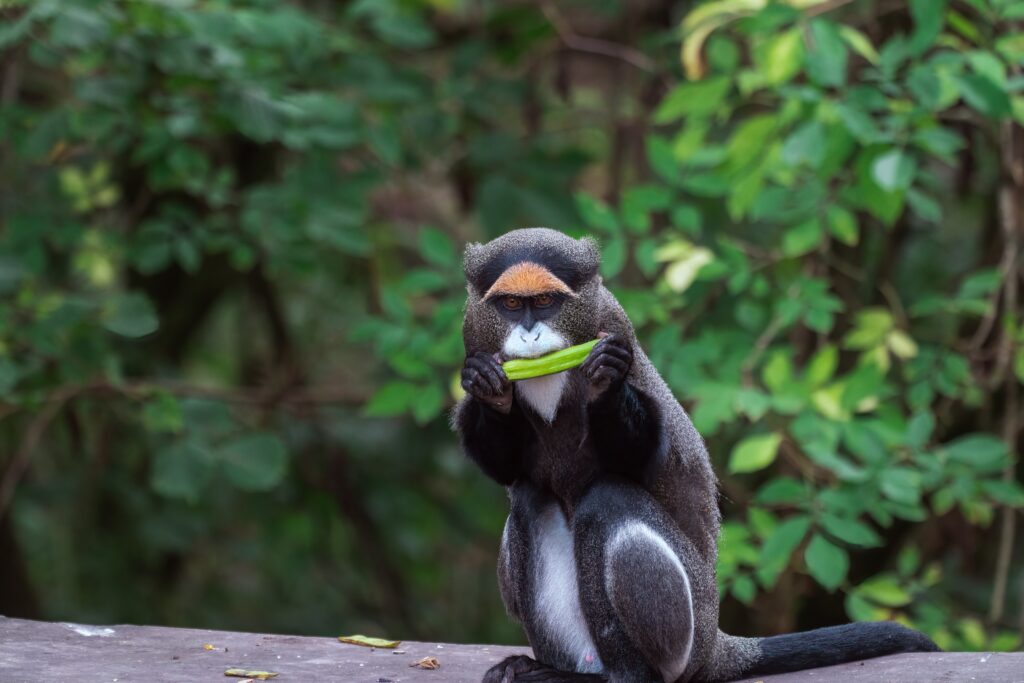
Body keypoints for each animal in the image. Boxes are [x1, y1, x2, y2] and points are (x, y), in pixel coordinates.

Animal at [452, 227, 937, 679]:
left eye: (546, 301)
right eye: (511, 305)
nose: (530, 333)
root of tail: (714, 647)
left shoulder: (615, 324)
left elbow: (645, 454)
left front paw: (606, 377)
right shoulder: (475, 337)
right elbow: (507, 467)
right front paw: (486, 386)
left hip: (686, 633)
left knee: (610, 498)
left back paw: (624, 674)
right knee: (531, 497)